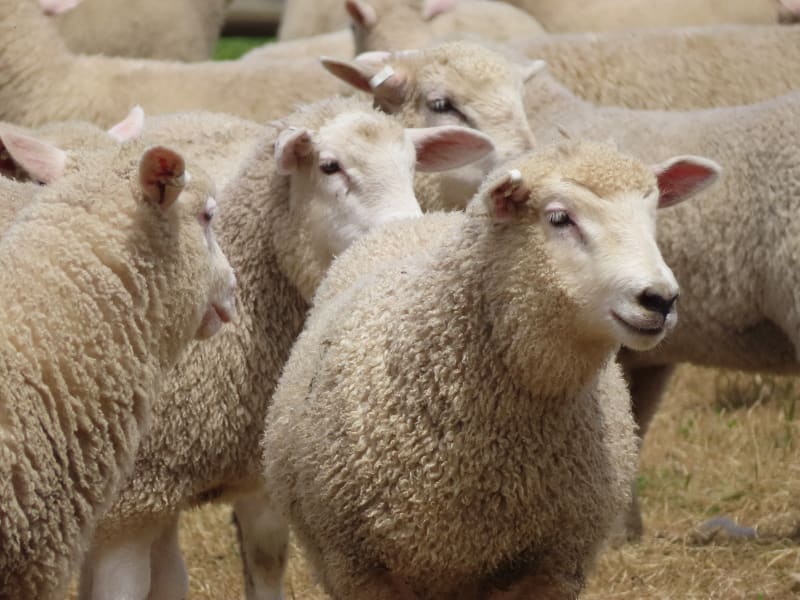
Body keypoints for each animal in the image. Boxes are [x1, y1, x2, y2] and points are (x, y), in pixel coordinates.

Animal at [76, 95, 495, 600]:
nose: (406, 235)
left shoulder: (257, 478)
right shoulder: (129, 502)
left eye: (412, 166)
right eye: (330, 167)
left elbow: (265, 561)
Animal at [262, 140, 719, 600]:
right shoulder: (357, 568)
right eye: (559, 218)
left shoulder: (553, 567)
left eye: (653, 214)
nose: (660, 299)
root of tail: (426, 218)